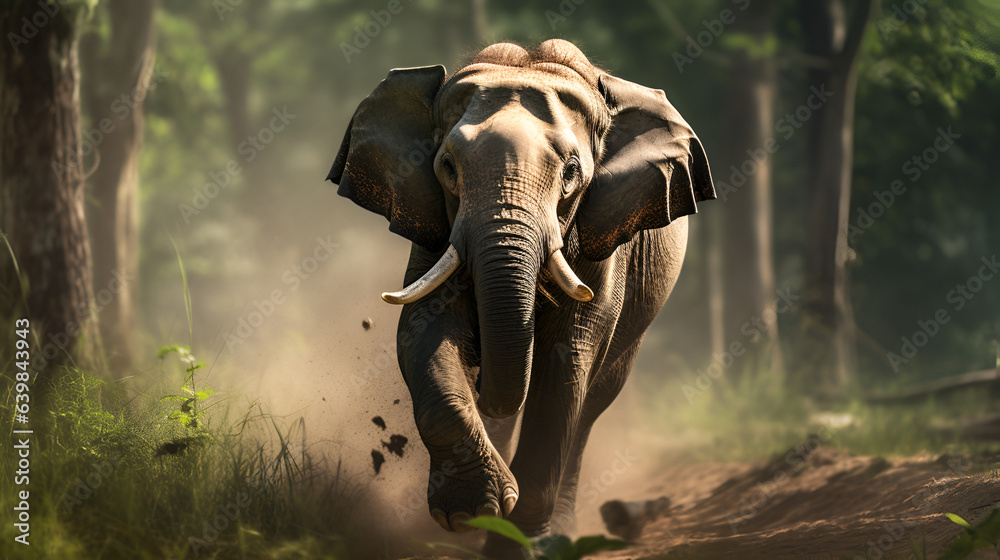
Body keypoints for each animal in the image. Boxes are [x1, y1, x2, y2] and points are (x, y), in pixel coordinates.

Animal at [328, 39, 715, 555]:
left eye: (571, 172)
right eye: (447, 168)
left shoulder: (604, 239)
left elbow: (565, 366)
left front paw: (515, 543)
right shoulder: (434, 229)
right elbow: (422, 333)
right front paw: (470, 514)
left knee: (590, 406)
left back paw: (557, 531)